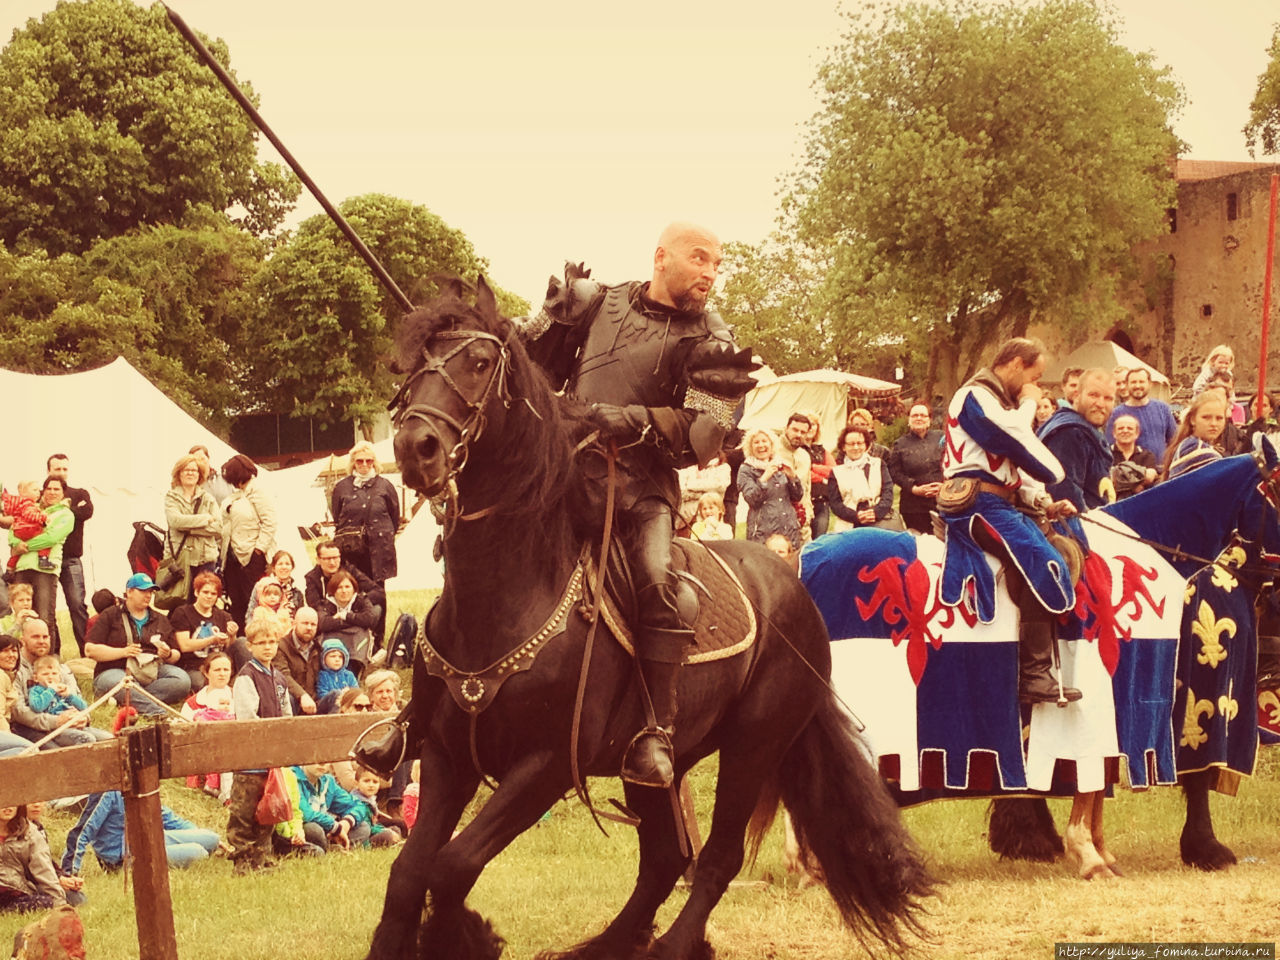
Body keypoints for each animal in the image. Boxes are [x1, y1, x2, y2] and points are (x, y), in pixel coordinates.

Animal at [366, 280, 936, 960]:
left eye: (479, 363)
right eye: (415, 365)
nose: (414, 448)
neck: (506, 597)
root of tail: (794, 587)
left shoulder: (545, 766)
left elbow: (451, 867)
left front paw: (468, 935)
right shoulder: (447, 756)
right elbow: (408, 874)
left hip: (753, 746)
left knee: (714, 860)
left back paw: (673, 945)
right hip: (662, 763)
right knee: (665, 857)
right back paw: (608, 945)